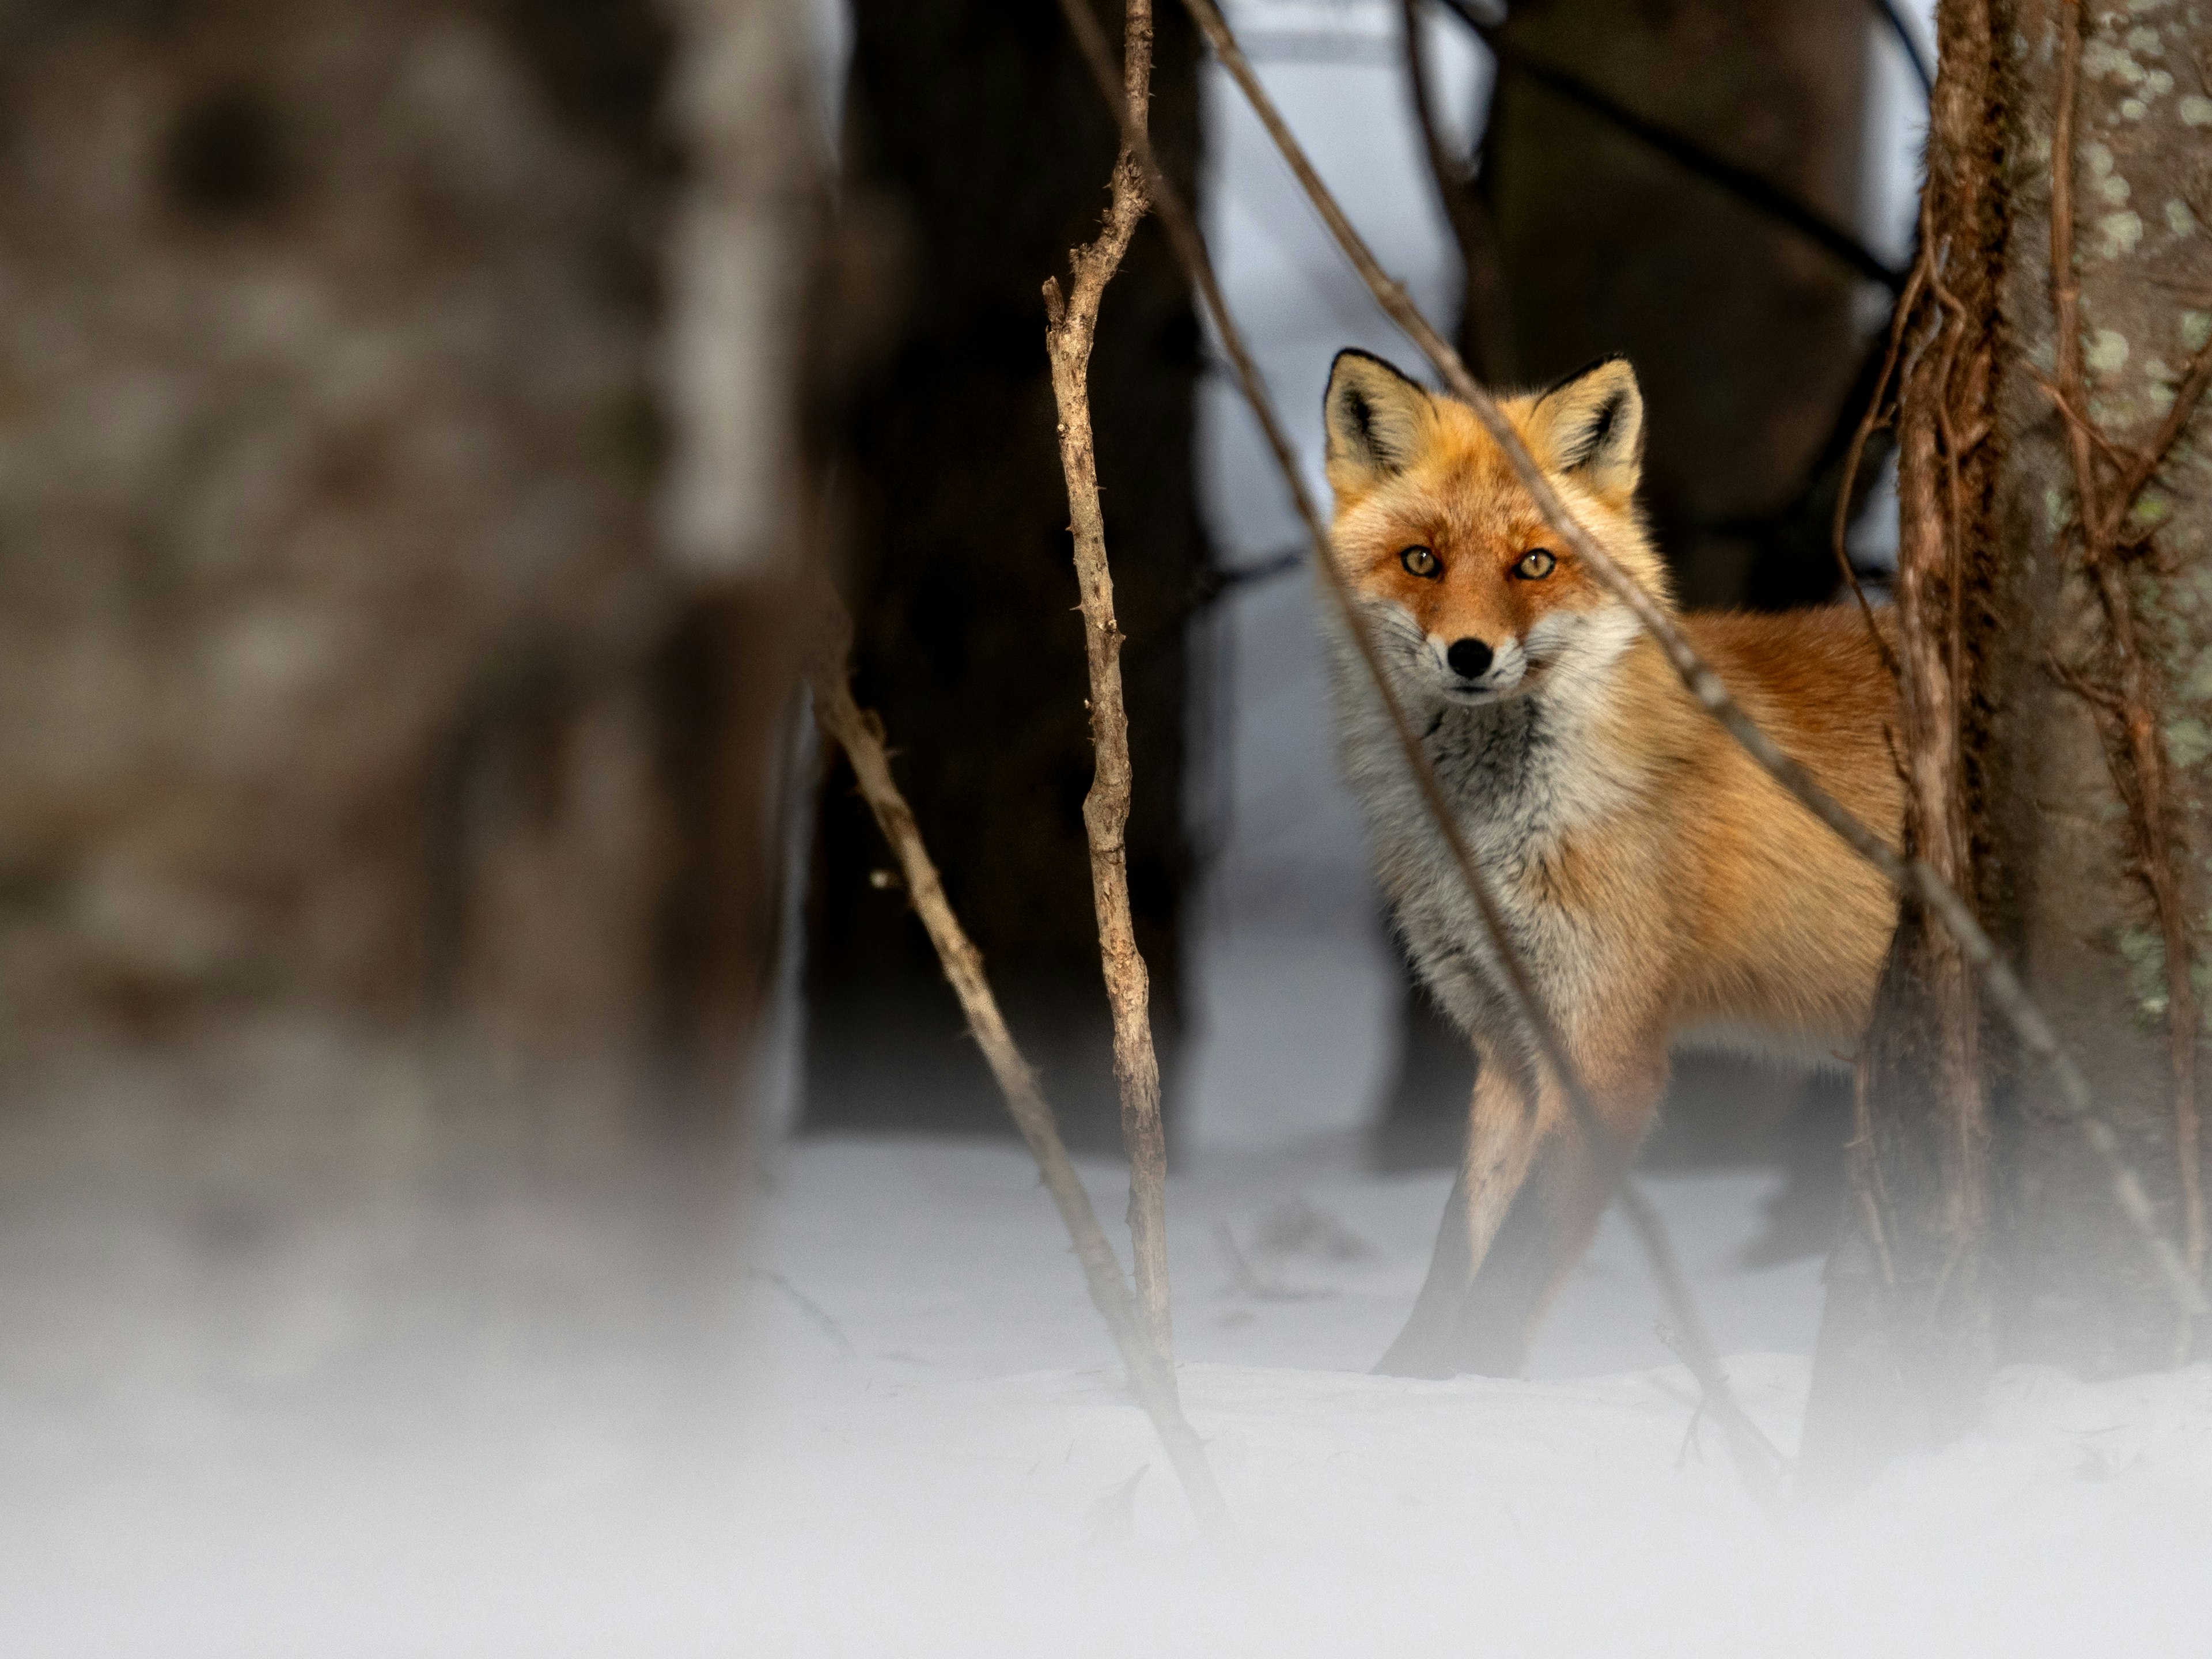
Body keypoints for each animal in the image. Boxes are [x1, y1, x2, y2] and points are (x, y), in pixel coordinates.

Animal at [1318, 351, 1911, 1380]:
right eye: (1422, 560)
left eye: (1535, 564)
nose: (1468, 654)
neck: (1492, 839)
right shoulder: (1507, 1047)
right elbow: (1456, 1248)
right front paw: (1409, 1385)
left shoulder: (1606, 1047)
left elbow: (1513, 1264)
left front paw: (1472, 1386)